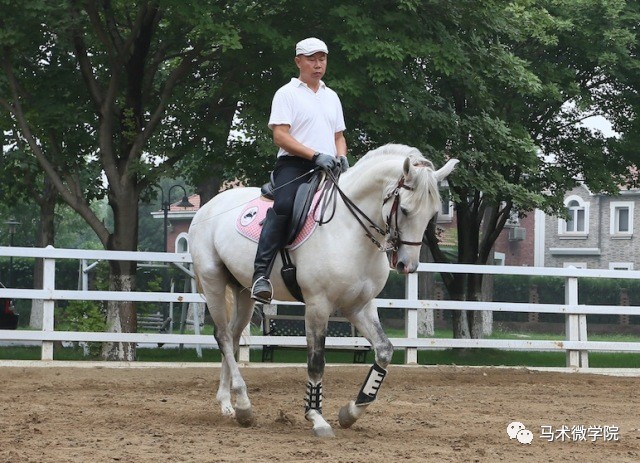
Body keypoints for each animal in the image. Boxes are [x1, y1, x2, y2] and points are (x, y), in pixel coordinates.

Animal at [188, 145, 458, 438]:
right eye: (406, 210)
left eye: (433, 213)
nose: (407, 265)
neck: (349, 229)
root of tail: (207, 208)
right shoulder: (318, 305)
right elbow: (316, 362)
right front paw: (316, 417)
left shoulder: (359, 306)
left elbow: (384, 350)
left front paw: (351, 411)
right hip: (213, 282)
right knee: (224, 336)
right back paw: (244, 405)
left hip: (242, 290)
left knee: (234, 337)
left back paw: (229, 403)